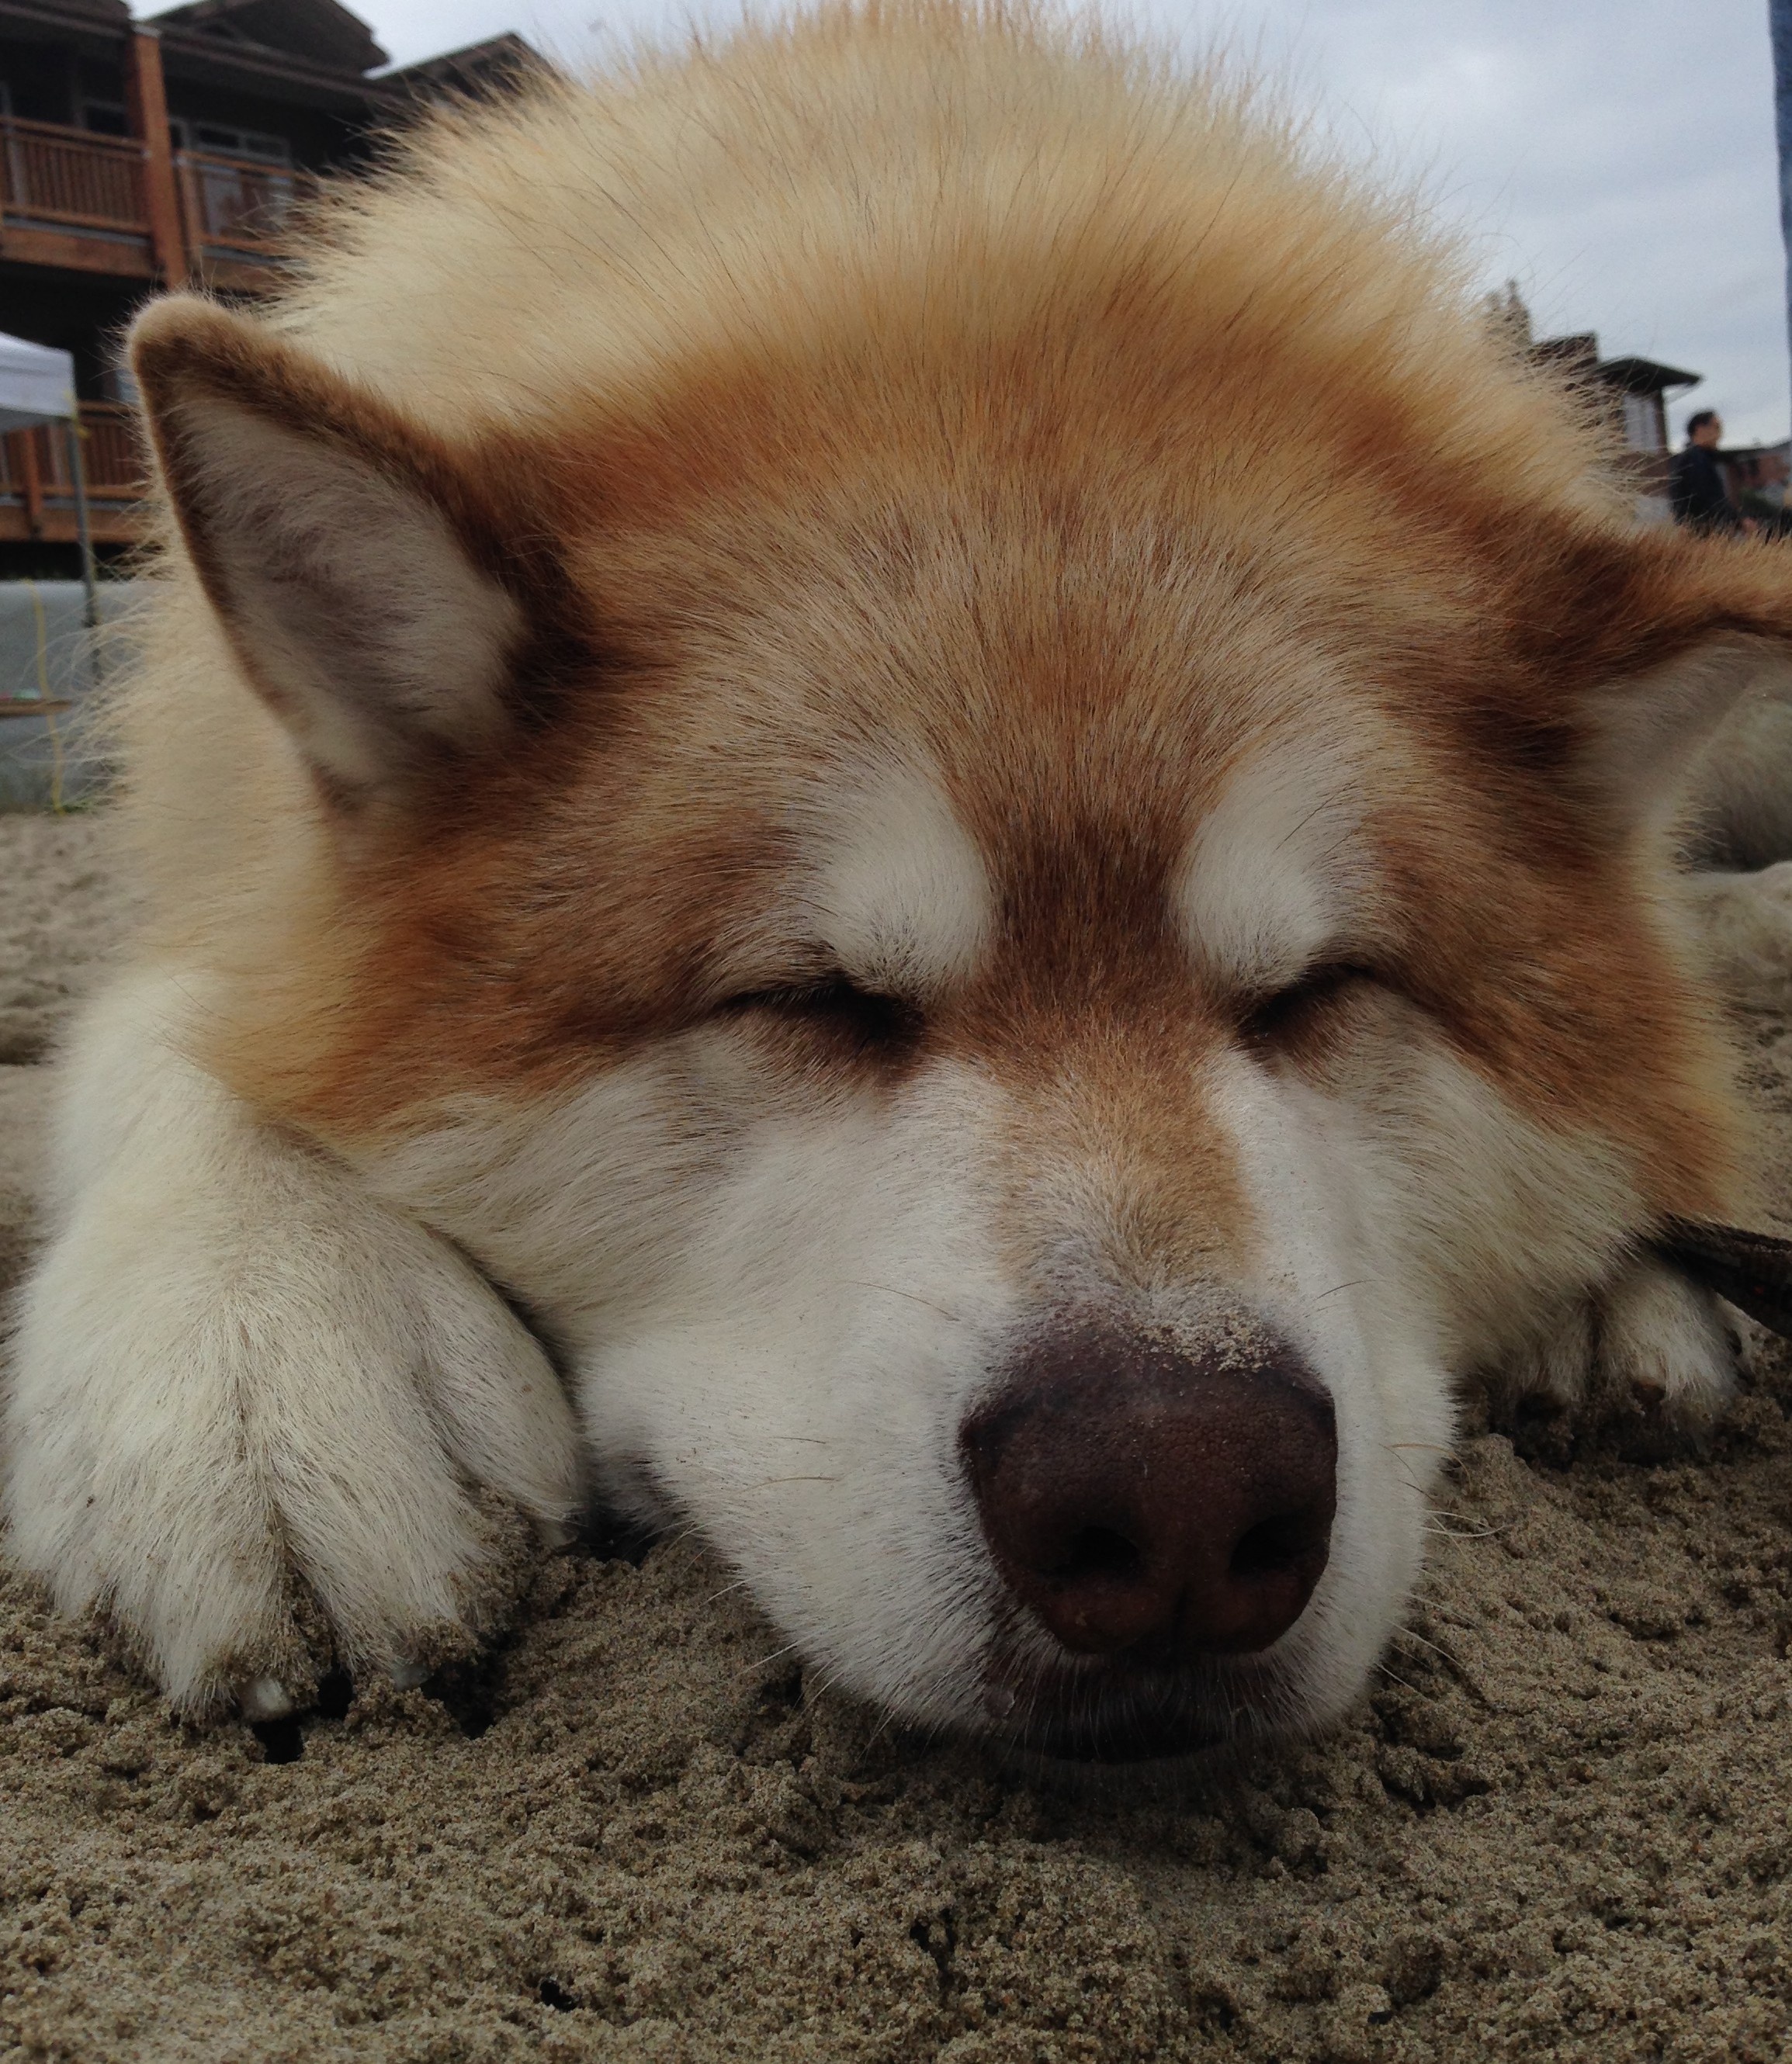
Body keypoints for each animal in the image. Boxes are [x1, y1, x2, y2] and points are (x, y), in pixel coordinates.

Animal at [6, 2, 1792, 1762]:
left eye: (1316, 992)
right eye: (812, 998)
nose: (1178, 1499)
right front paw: (266, 1362)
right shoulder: (230, 885)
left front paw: (1626, 1263)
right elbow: (191, 1049)